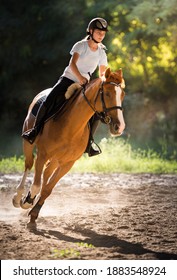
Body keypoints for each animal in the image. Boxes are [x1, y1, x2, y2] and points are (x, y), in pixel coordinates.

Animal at [12, 68, 126, 228]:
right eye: (108, 93)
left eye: (122, 95)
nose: (119, 127)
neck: (71, 128)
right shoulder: (42, 155)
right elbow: (36, 185)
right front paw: (27, 201)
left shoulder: (68, 163)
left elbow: (47, 189)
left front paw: (34, 214)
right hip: (28, 144)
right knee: (29, 164)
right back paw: (18, 198)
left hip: (56, 160)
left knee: (46, 174)